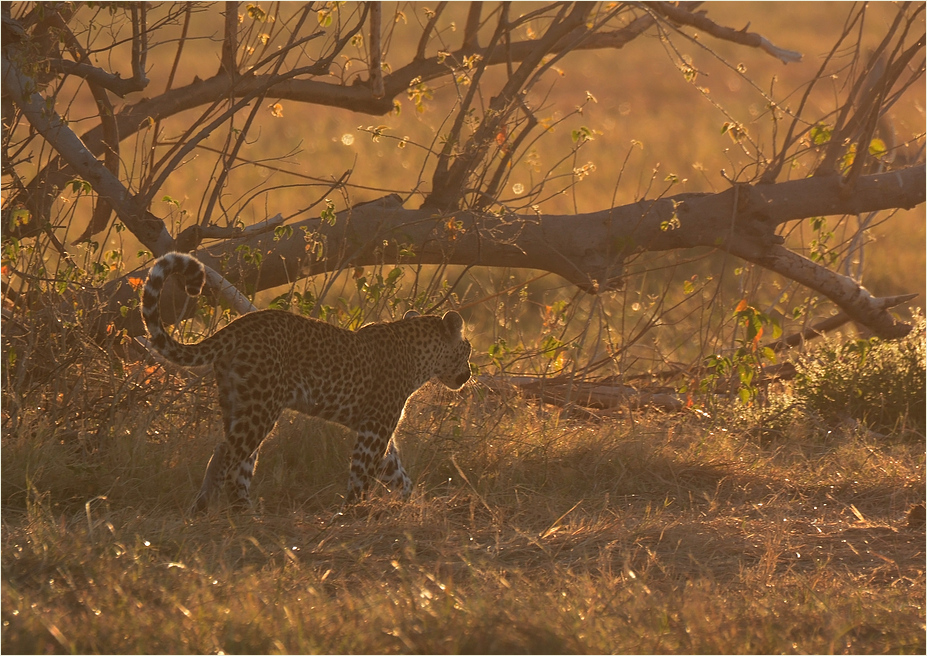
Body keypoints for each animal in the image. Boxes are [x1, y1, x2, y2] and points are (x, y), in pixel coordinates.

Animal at [141, 251, 474, 512]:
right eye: (468, 349)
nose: (470, 374)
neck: (420, 356)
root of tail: (236, 326)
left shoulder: (377, 427)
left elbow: (395, 470)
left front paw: (410, 503)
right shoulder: (375, 428)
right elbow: (362, 471)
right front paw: (352, 513)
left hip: (238, 404)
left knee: (240, 463)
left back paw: (247, 516)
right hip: (261, 408)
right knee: (224, 455)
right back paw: (203, 507)